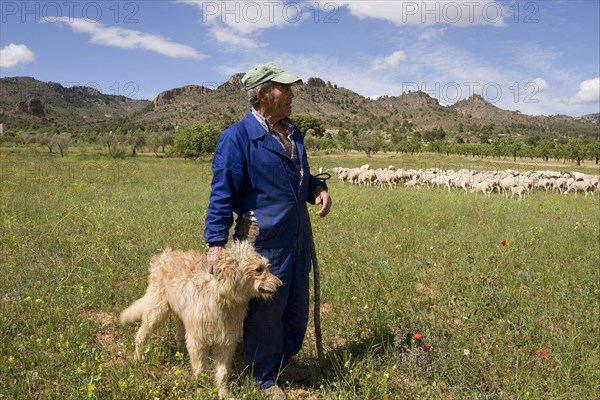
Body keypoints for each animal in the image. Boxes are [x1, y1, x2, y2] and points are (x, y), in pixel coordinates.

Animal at [121, 241, 284, 400]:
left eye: (266, 267)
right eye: (258, 269)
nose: (280, 285)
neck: (222, 298)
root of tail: (163, 256)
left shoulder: (226, 342)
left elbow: (223, 373)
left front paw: (224, 393)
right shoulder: (198, 340)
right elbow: (200, 370)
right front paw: (201, 391)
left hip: (181, 317)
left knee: (179, 336)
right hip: (155, 312)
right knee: (140, 335)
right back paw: (138, 358)